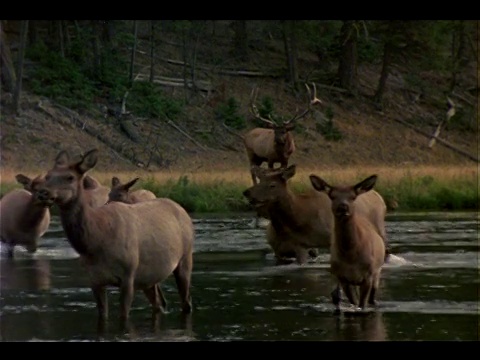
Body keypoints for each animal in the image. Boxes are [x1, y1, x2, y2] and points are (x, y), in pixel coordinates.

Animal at [37, 149, 195, 324]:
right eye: (47, 176)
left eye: (70, 177)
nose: (43, 193)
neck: (95, 242)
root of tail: (183, 210)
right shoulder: (95, 280)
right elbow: (102, 314)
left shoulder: (128, 275)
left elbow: (123, 316)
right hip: (149, 278)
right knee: (159, 304)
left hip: (185, 258)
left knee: (186, 302)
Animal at [242, 165, 388, 264]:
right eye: (259, 181)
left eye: (272, 185)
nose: (246, 192)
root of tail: (379, 195)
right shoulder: (292, 247)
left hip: (380, 230)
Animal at [310, 174, 384, 312]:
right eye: (332, 196)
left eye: (353, 196)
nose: (343, 207)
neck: (351, 257)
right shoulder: (343, 277)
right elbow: (354, 302)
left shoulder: (368, 275)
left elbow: (362, 304)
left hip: (377, 271)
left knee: (372, 297)